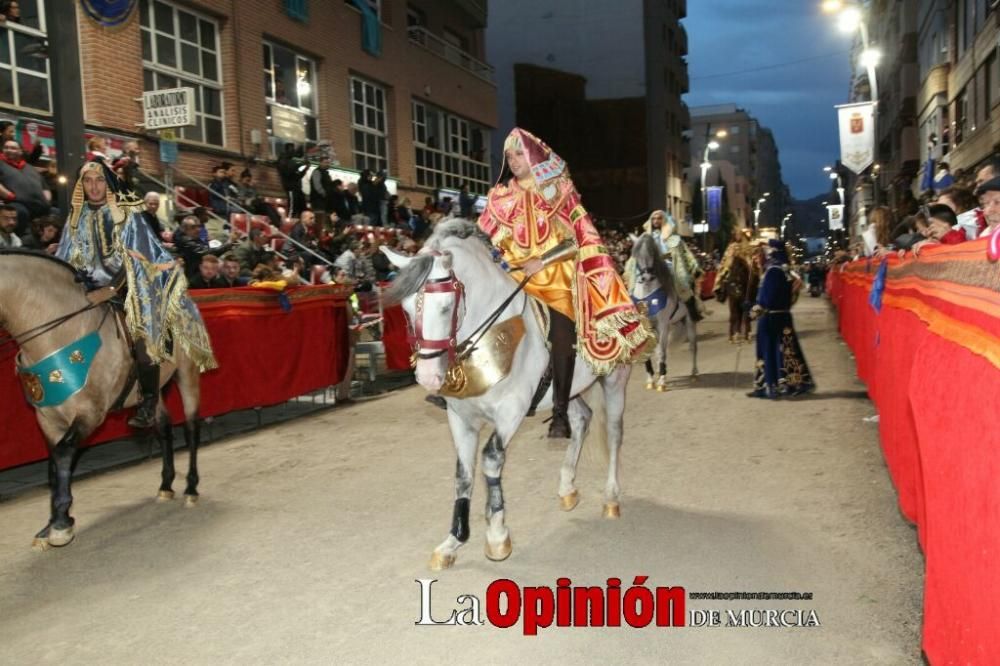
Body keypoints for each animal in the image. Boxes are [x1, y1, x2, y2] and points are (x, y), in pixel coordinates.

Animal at [0, 252, 203, 548]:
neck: (59, 334)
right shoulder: (47, 418)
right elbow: (53, 465)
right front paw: (51, 524)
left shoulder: (90, 413)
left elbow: (63, 453)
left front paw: (61, 523)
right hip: (156, 390)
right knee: (164, 427)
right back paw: (166, 486)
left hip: (186, 373)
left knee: (191, 428)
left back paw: (191, 487)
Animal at [378, 219, 628, 572]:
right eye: (405, 309)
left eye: (445, 307)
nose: (427, 377)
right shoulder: (460, 418)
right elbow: (463, 474)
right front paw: (453, 542)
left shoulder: (511, 412)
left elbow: (490, 459)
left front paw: (497, 537)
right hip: (568, 391)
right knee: (581, 420)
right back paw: (567, 488)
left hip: (615, 377)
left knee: (614, 432)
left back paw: (610, 498)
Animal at [628, 233, 700, 390]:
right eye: (636, 255)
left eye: (653, 254)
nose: (646, 277)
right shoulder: (647, 326)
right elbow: (650, 351)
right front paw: (651, 379)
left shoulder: (662, 325)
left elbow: (661, 351)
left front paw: (661, 382)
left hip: (688, 322)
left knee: (693, 346)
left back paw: (693, 373)